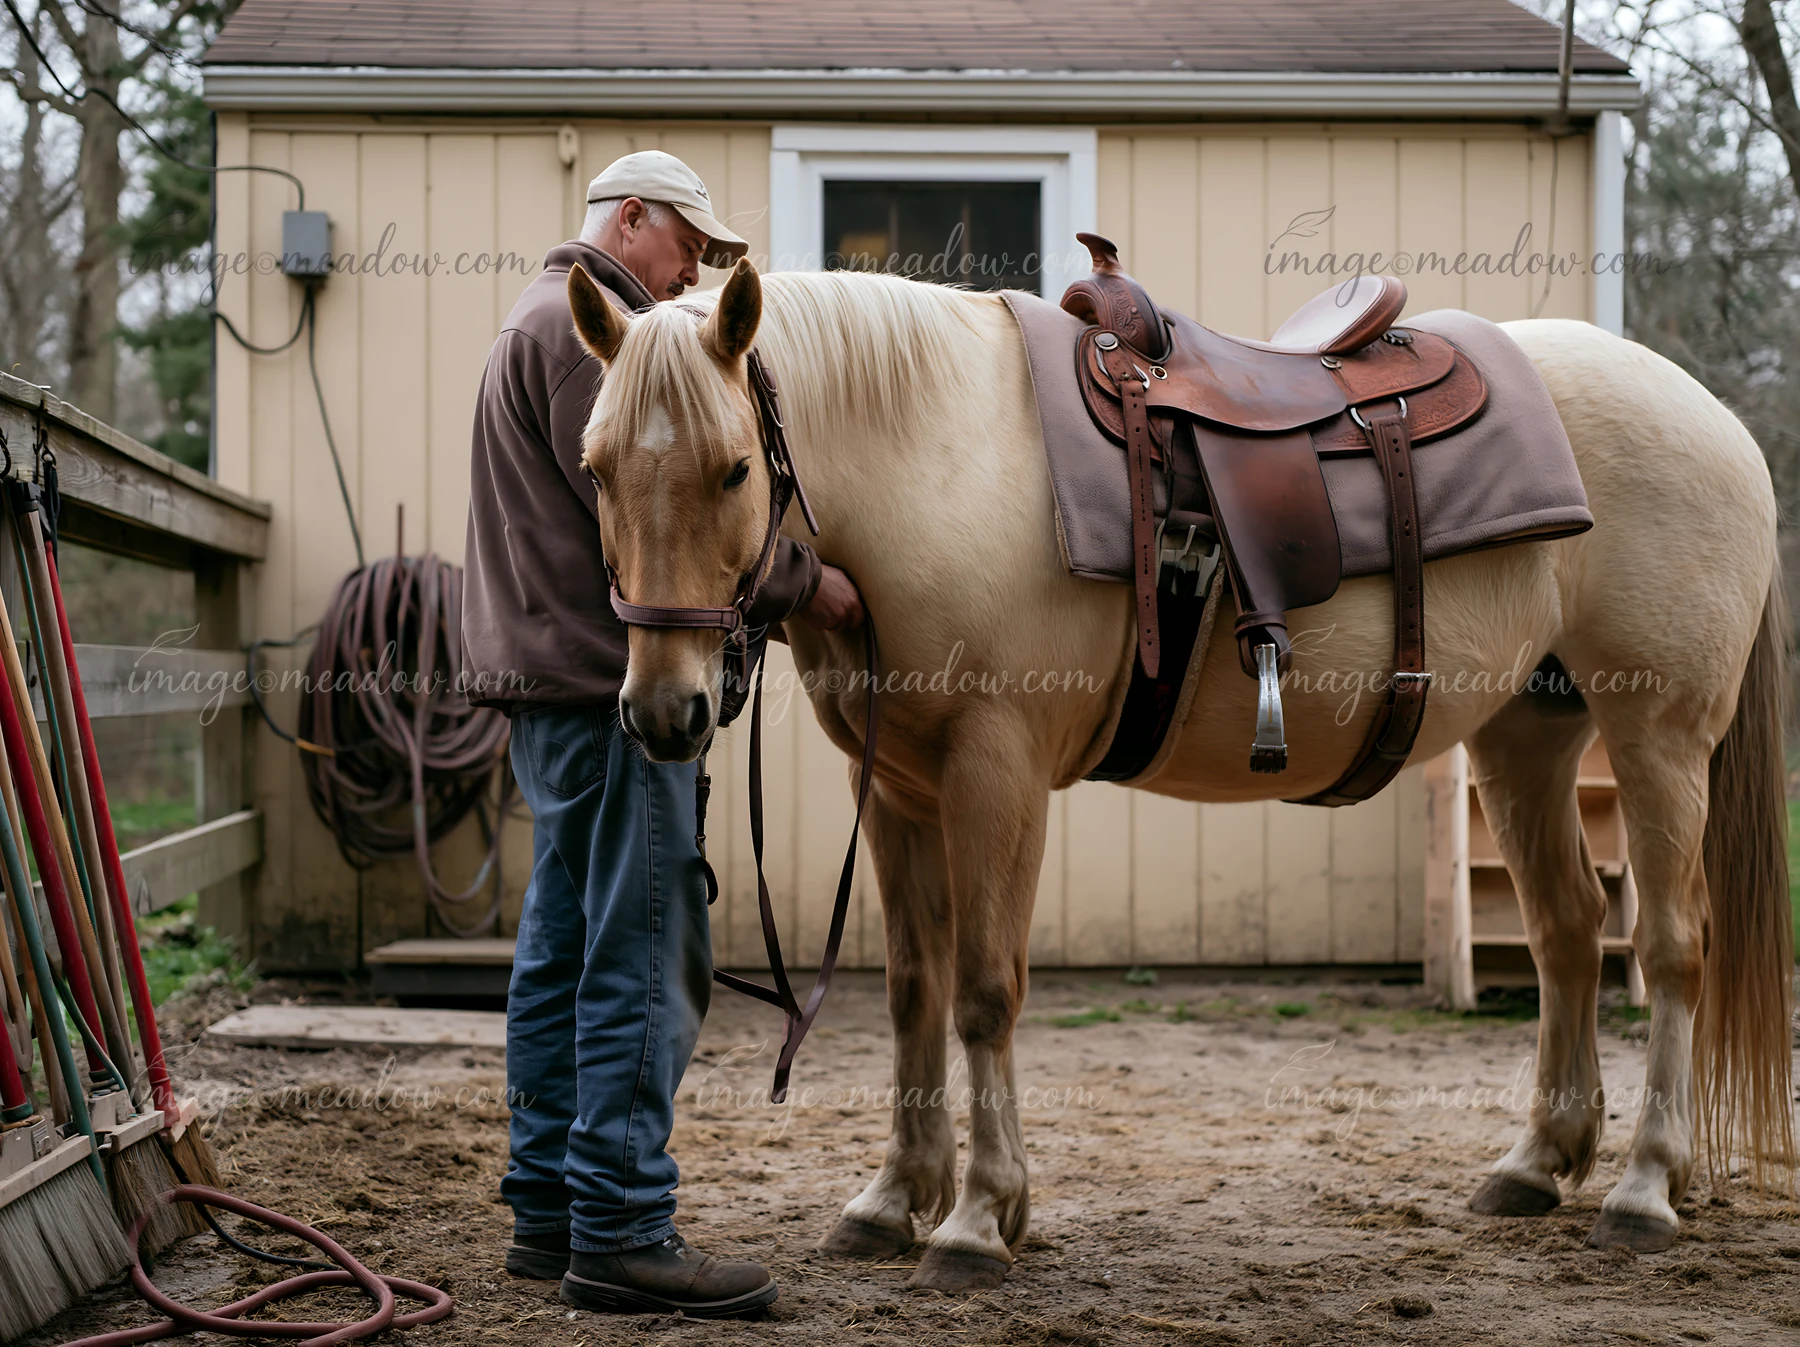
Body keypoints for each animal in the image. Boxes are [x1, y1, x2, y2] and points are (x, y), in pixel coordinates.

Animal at [564, 256, 1794, 1293]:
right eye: (595, 470)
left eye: (733, 469)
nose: (665, 711)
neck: (941, 464)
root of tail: (1720, 420)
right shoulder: (905, 788)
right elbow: (914, 988)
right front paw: (891, 1198)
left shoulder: (995, 772)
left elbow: (982, 992)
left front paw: (978, 1219)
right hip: (1527, 737)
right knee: (1568, 933)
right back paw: (1538, 1163)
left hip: (1657, 735)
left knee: (1670, 947)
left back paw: (1644, 1187)